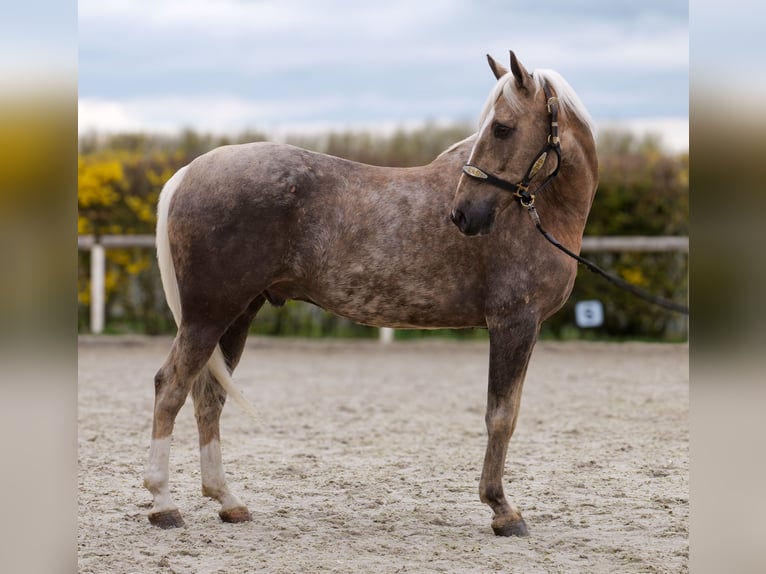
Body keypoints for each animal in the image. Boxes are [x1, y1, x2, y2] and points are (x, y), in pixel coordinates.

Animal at [143, 51, 598, 537]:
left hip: (236, 316)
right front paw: (502, 509)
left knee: (208, 396)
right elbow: (501, 416)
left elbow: (506, 412)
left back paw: (227, 500)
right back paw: (163, 503)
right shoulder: (514, 322)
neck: (536, 212)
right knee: (171, 387)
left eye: (503, 128)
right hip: (208, 316)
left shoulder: (523, 327)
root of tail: (189, 172)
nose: (463, 214)